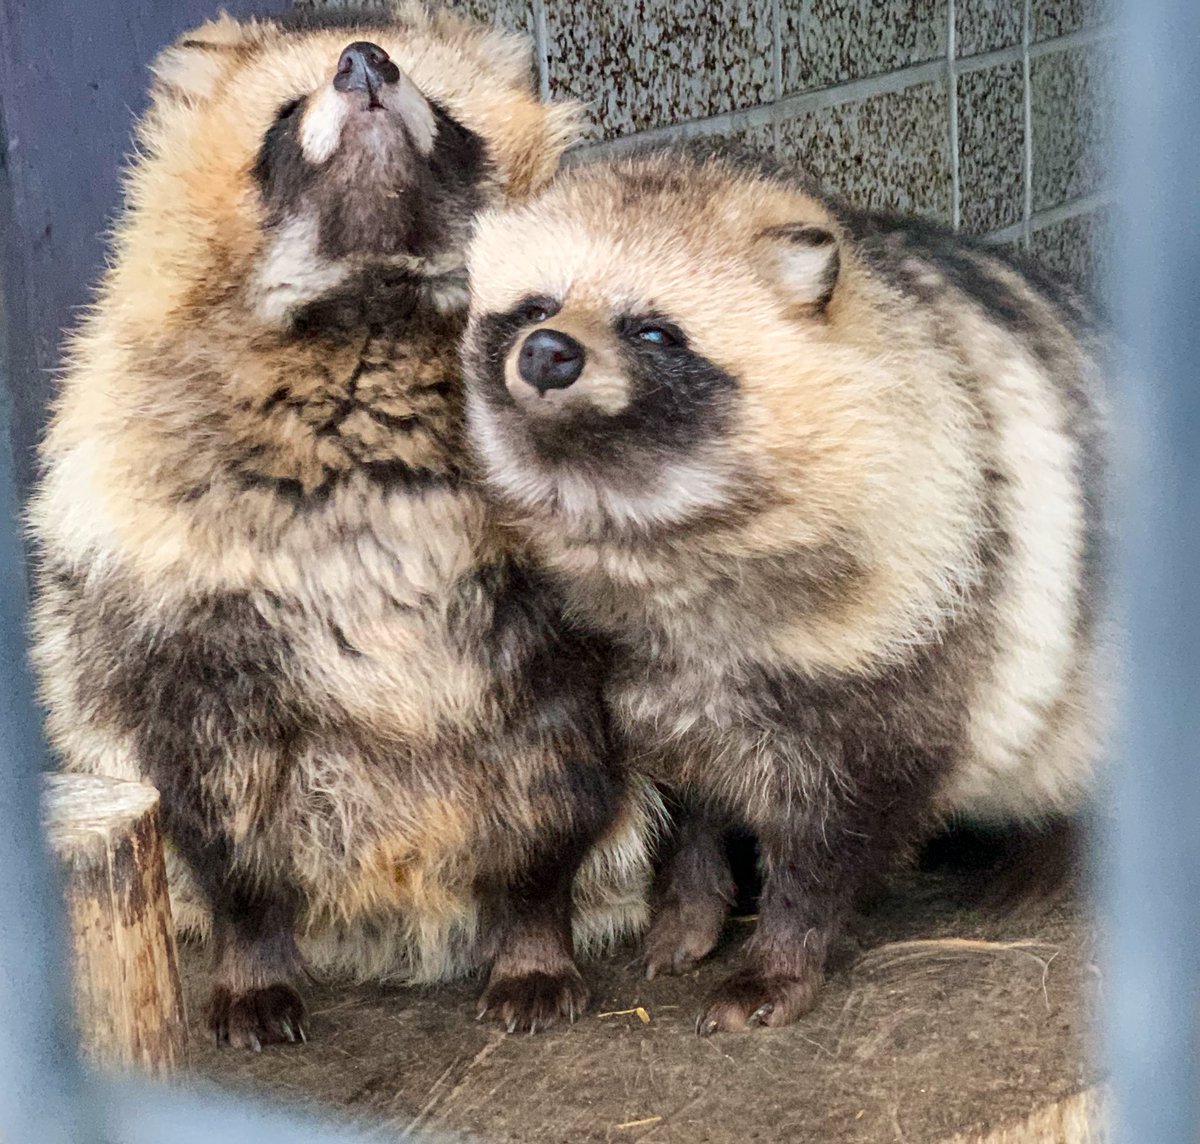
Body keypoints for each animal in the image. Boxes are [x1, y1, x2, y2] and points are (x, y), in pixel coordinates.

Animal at [28, 6, 662, 1046]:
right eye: (287, 110)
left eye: (437, 98)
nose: (364, 61)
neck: (372, 314)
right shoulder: (175, 598)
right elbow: (213, 807)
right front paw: (250, 951)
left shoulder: (558, 625)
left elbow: (559, 782)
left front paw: (535, 930)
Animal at [458, 147, 1104, 1032]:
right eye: (537, 304)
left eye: (653, 330)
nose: (547, 351)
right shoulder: (628, 673)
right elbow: (689, 802)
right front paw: (690, 907)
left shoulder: (918, 637)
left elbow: (831, 838)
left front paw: (781, 954)